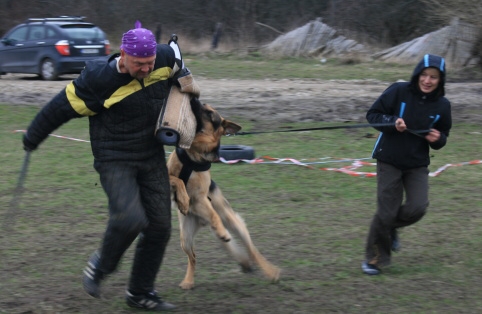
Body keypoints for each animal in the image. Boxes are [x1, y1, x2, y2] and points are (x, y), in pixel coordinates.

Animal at [169, 97, 282, 290]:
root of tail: (202, 222)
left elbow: (212, 213)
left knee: (252, 251)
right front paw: (182, 200)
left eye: (209, 113)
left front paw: (184, 199)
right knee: (193, 258)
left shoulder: (200, 197)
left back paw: (270, 271)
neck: (194, 152)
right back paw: (189, 281)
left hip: (236, 226)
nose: (194, 98)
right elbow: (177, 180)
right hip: (186, 239)